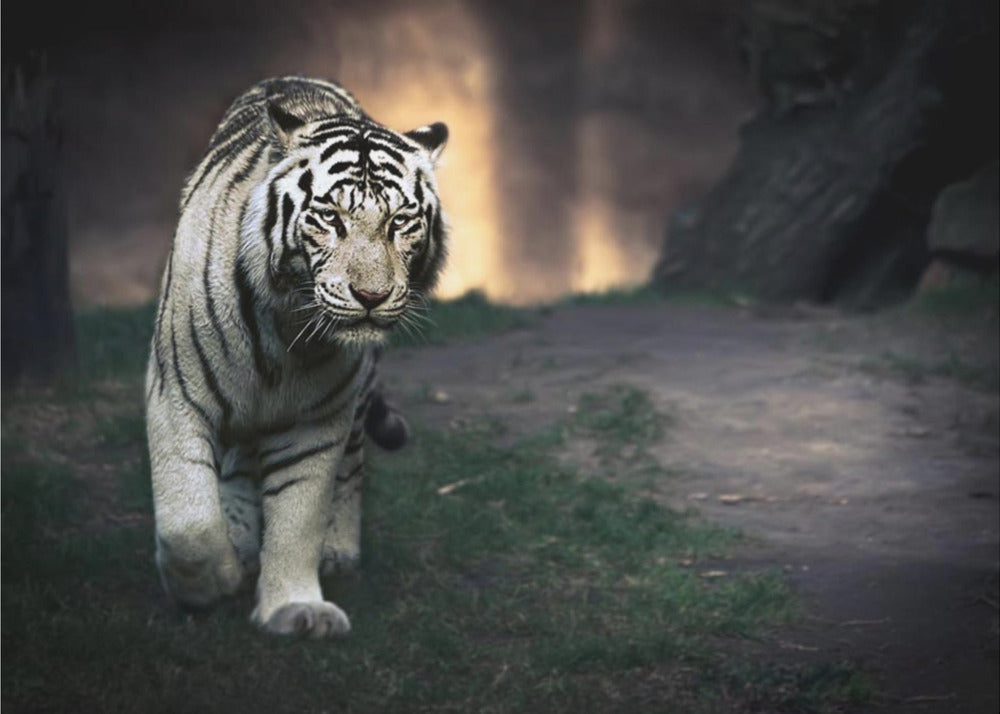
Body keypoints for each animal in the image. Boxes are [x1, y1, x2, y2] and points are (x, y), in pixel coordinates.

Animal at [145, 76, 448, 638]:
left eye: (400, 222)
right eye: (330, 217)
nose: (371, 296)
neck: (285, 330)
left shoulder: (317, 419)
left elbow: (299, 514)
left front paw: (294, 608)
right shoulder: (177, 393)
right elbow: (189, 520)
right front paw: (213, 581)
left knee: (351, 466)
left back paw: (338, 551)